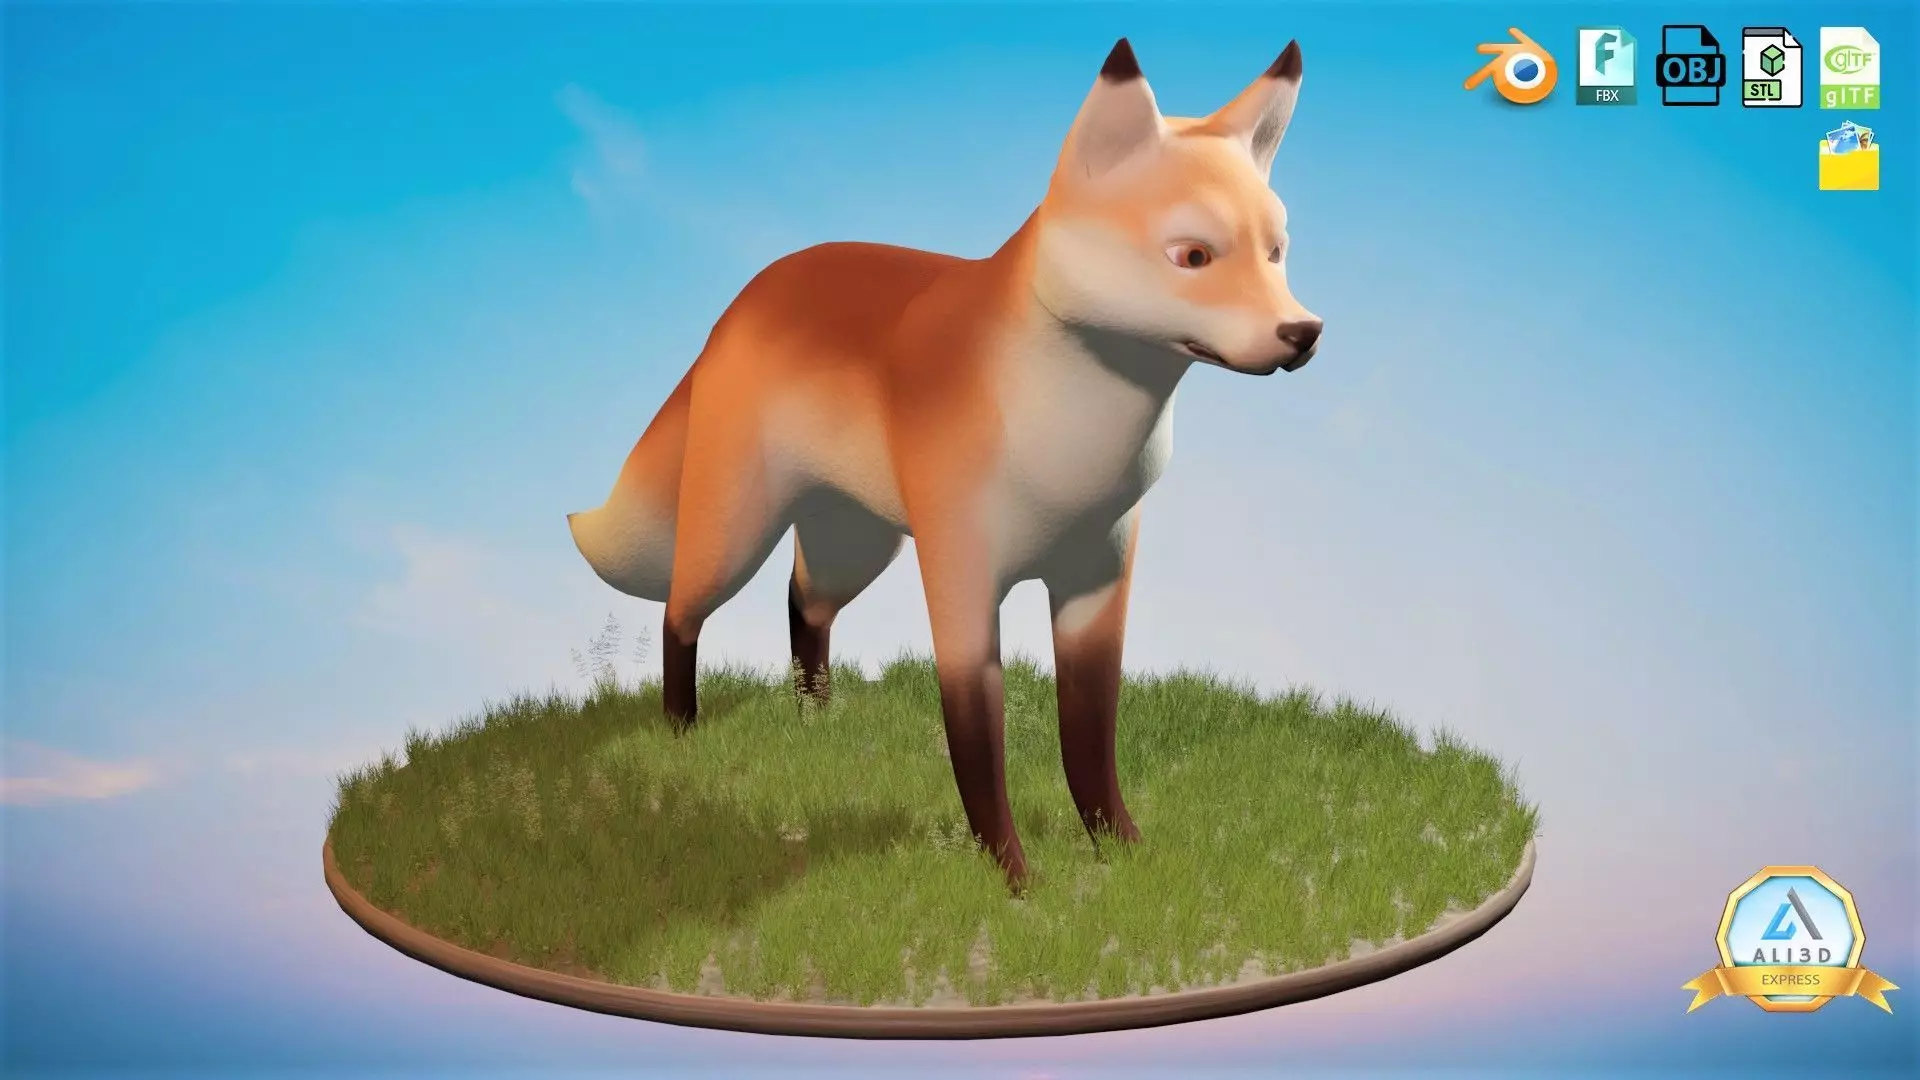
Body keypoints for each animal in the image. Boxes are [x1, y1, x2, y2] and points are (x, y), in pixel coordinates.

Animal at [568, 38, 1320, 891]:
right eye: (1193, 255)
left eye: (1276, 253)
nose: (1304, 332)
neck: (1069, 445)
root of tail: (749, 294)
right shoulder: (963, 582)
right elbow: (978, 749)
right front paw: (1018, 884)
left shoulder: (1098, 572)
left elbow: (1089, 742)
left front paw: (1123, 854)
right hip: (736, 539)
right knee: (679, 615)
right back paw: (681, 735)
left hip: (856, 545)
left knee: (802, 607)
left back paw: (814, 721)